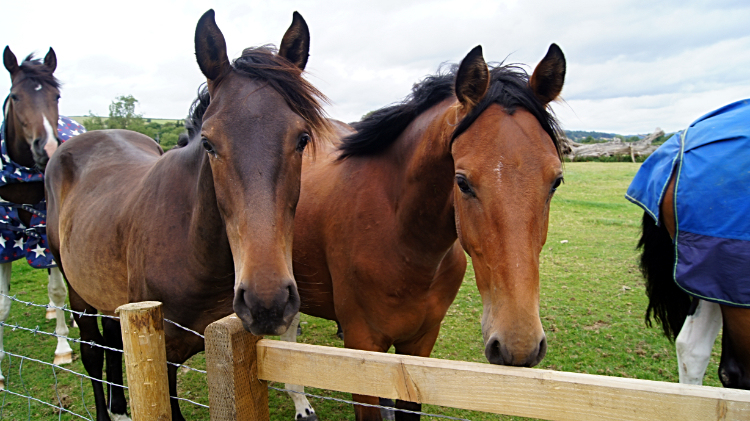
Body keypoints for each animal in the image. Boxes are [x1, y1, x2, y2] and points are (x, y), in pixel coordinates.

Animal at [45, 9, 330, 420]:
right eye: (208, 143)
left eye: (302, 139)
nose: (267, 302)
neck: (190, 248)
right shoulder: (162, 360)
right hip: (77, 291)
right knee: (92, 352)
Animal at [284, 44, 568, 418]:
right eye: (462, 182)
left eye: (556, 181)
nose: (518, 344)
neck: (403, 244)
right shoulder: (362, 349)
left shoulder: (419, 346)